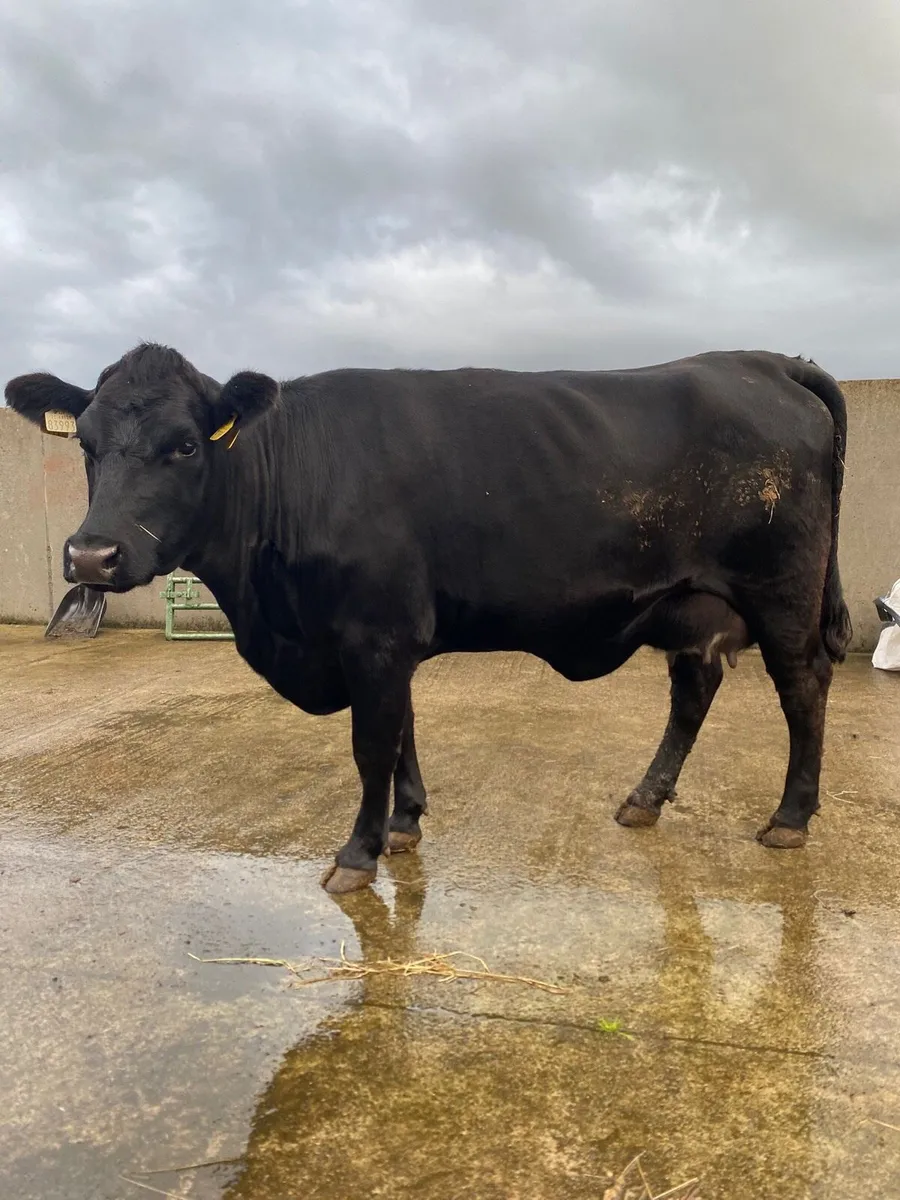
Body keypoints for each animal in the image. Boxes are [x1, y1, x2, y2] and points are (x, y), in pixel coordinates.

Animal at [6, 345, 851, 893]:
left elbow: (371, 744)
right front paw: (404, 824)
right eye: (86, 444)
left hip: (782, 591)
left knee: (804, 687)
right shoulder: (383, 639)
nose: (90, 555)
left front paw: (358, 852)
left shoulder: (374, 636)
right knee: (695, 689)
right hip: (692, 605)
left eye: (185, 446)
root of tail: (761, 359)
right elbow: (404, 729)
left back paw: (790, 816)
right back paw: (644, 799)